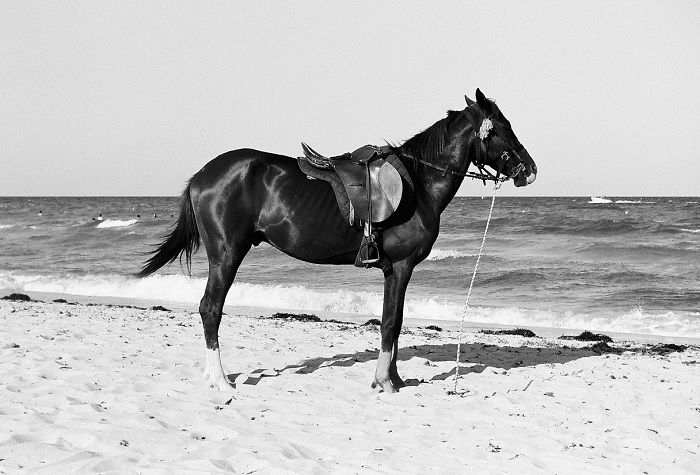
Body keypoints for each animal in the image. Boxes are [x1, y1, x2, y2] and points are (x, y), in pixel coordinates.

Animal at [139, 90, 540, 394]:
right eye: (502, 129)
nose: (530, 169)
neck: (419, 183)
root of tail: (201, 175)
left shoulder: (395, 271)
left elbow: (395, 321)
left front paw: (395, 378)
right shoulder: (401, 266)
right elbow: (390, 323)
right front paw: (384, 382)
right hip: (226, 253)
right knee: (210, 309)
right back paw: (221, 380)